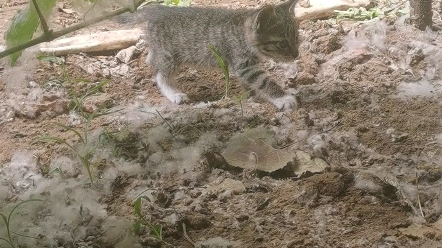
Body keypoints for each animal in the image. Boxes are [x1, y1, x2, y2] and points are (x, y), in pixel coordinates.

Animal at [132, 0, 296, 109]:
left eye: (297, 38)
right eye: (282, 43)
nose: (296, 54)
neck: (242, 33)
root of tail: (157, 11)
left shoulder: (245, 66)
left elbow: (249, 82)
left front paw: (252, 94)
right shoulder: (244, 64)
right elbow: (263, 81)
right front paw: (283, 98)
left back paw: (149, 58)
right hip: (169, 55)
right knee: (160, 75)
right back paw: (174, 93)